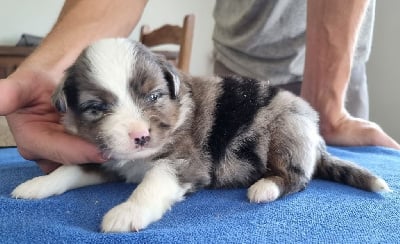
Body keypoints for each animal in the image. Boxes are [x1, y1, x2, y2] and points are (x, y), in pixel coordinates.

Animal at [10, 38, 390, 233]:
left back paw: (266, 187)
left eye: (153, 96)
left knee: (297, 178)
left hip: (286, 130)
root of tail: (315, 136)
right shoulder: (108, 158)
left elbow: (152, 185)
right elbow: (70, 169)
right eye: (96, 108)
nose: (141, 137)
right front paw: (37, 185)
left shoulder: (184, 161)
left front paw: (127, 212)